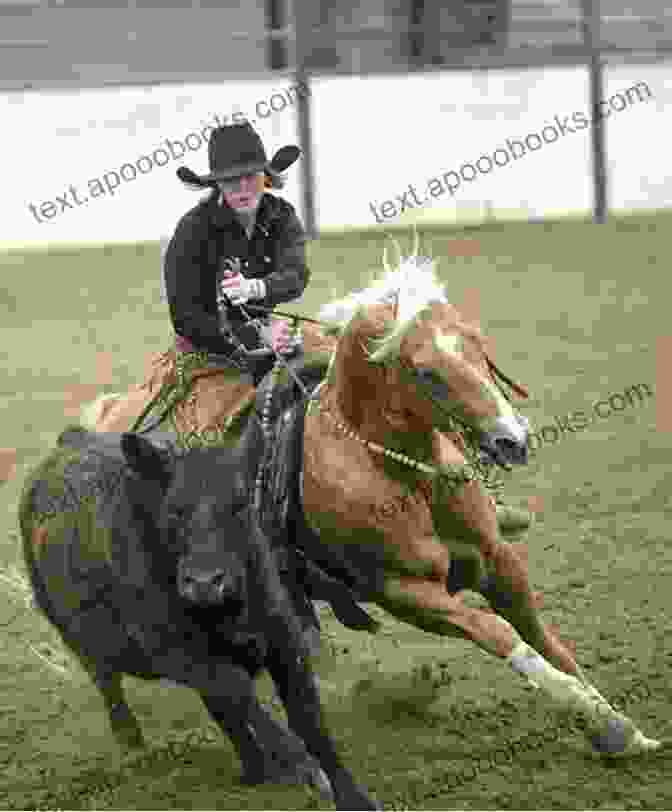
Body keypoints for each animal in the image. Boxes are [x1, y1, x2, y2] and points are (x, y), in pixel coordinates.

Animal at [19, 428, 378, 808]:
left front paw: (353, 796)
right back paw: (132, 741)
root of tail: (71, 438)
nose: (204, 582)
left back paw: (256, 769)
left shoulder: (284, 639)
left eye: (240, 504)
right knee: (109, 685)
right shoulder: (177, 653)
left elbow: (308, 716)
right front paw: (301, 764)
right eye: (175, 510)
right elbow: (237, 689)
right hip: (80, 642)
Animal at [240, 249, 660, 760]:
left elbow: (544, 638)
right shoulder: (406, 594)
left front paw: (611, 721)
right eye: (427, 373)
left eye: (477, 341)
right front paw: (608, 723)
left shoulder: (496, 558)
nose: (513, 439)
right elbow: (501, 634)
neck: (408, 476)